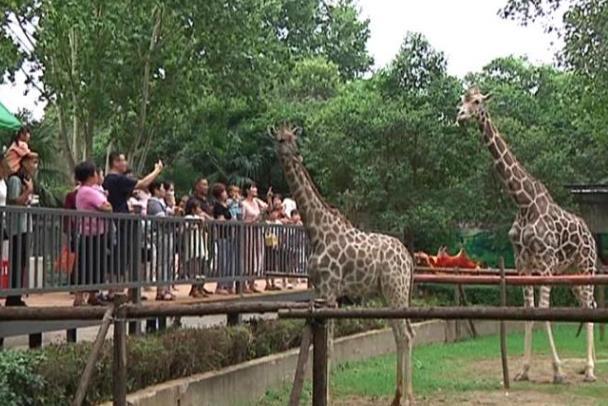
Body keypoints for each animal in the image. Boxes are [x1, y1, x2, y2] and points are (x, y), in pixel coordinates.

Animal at [274, 124, 416, 406]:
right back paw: (397, 397)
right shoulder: (319, 290)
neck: (316, 230)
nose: (294, 154)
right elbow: (323, 346)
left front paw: (327, 397)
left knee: (405, 335)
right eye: (281, 139)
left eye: (294, 138)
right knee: (401, 334)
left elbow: (328, 347)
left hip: (396, 289)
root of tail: (408, 258)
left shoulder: (330, 290)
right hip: (389, 292)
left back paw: (405, 399)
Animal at [458, 86, 596, 384]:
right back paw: (588, 368)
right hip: (571, 273)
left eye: (477, 102)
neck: (523, 203)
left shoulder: (545, 263)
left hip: (587, 267)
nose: (460, 116)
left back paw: (591, 370)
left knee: (591, 306)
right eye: (461, 100)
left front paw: (558, 371)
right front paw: (523, 370)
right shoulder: (523, 263)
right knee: (588, 305)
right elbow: (528, 313)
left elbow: (544, 313)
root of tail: (591, 235)